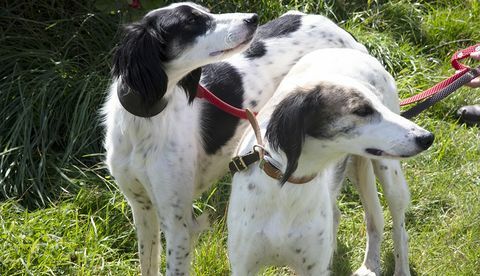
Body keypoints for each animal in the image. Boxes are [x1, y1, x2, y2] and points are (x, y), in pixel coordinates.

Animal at [100, 1, 404, 274]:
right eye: (191, 22)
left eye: (207, 11)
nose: (252, 19)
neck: (143, 120)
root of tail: (342, 32)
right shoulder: (142, 208)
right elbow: (147, 263)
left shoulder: (179, 224)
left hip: (380, 163)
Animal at [229, 48, 436, 274]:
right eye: (362, 110)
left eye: (379, 105)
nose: (427, 138)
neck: (287, 184)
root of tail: (352, 49)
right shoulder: (243, 266)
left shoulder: (313, 268)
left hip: (389, 177)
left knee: (395, 227)